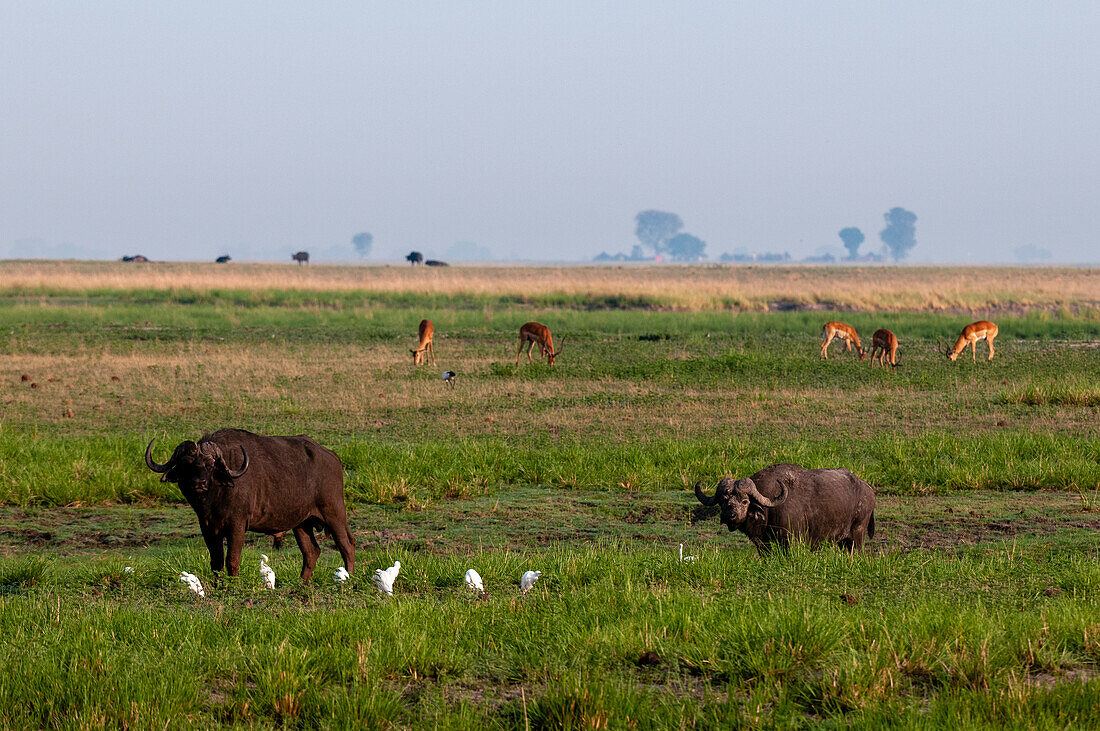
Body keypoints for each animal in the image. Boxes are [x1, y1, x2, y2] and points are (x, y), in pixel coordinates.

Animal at [144, 424, 354, 580]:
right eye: (186, 464)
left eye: (210, 464)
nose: (198, 483)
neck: (215, 498)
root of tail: (332, 456)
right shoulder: (208, 527)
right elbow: (216, 561)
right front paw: (218, 585)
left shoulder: (237, 525)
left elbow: (232, 559)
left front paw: (232, 585)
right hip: (302, 523)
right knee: (311, 552)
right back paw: (302, 583)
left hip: (334, 514)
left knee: (347, 546)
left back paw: (349, 579)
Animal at [695, 461, 875, 554]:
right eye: (723, 500)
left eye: (745, 501)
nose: (729, 515)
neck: (769, 511)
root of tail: (867, 488)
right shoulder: (763, 545)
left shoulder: (791, 541)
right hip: (843, 540)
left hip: (857, 533)